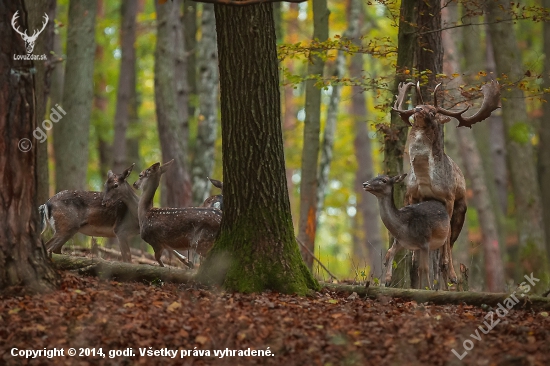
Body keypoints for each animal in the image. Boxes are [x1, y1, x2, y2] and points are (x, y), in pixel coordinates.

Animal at [392, 80, 500, 284]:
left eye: (433, 111)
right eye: (420, 104)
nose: (418, 109)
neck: (424, 177)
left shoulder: (448, 198)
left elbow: (447, 236)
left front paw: (450, 272)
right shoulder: (411, 195)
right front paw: (414, 261)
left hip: (461, 209)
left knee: (451, 239)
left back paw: (451, 273)